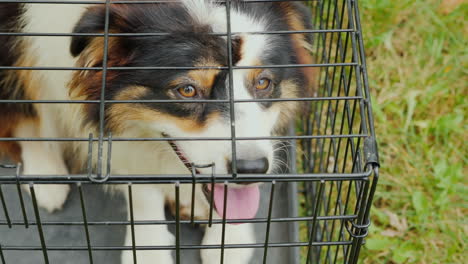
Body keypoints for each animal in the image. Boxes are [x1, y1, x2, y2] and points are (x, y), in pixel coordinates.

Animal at [0, 1, 314, 262]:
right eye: (187, 90)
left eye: (263, 82)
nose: (251, 170)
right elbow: (139, 181)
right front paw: (148, 250)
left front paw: (229, 240)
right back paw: (45, 175)